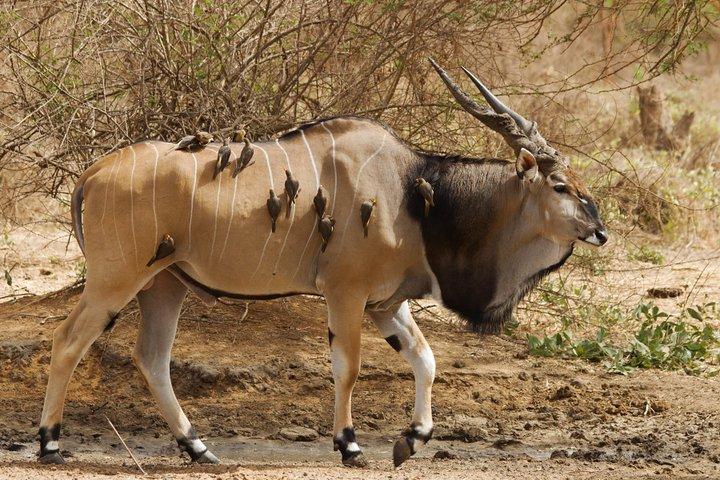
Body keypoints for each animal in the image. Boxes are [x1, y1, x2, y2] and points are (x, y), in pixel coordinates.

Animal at [36, 60, 604, 468]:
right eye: (559, 186)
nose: (600, 229)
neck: (414, 192)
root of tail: (94, 170)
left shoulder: (386, 304)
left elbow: (425, 359)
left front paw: (412, 439)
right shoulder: (346, 293)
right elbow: (347, 367)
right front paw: (349, 444)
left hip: (165, 284)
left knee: (152, 358)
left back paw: (199, 449)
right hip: (117, 279)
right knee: (68, 341)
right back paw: (48, 443)